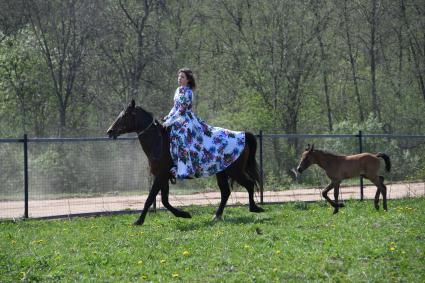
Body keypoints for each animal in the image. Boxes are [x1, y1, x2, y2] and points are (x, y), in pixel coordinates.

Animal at [107, 100, 262, 226]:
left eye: (124, 116)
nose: (110, 131)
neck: (159, 142)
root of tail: (243, 135)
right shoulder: (164, 177)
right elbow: (164, 200)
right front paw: (184, 214)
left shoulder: (160, 176)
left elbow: (150, 198)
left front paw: (139, 221)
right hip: (222, 172)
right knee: (226, 192)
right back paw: (217, 216)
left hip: (235, 171)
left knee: (249, 184)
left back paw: (255, 208)